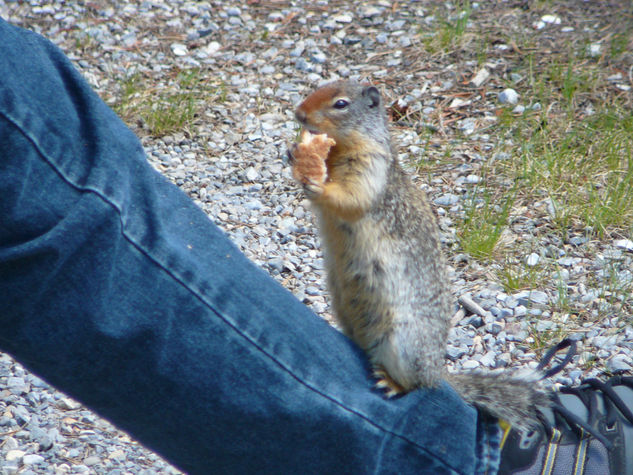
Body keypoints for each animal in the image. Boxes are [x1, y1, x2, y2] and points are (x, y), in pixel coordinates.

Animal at [286, 81, 548, 432]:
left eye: (340, 103)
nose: (299, 113)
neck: (340, 149)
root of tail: (438, 371)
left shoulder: (370, 168)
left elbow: (351, 198)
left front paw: (317, 184)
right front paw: (294, 154)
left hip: (404, 345)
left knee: (418, 386)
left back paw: (392, 384)